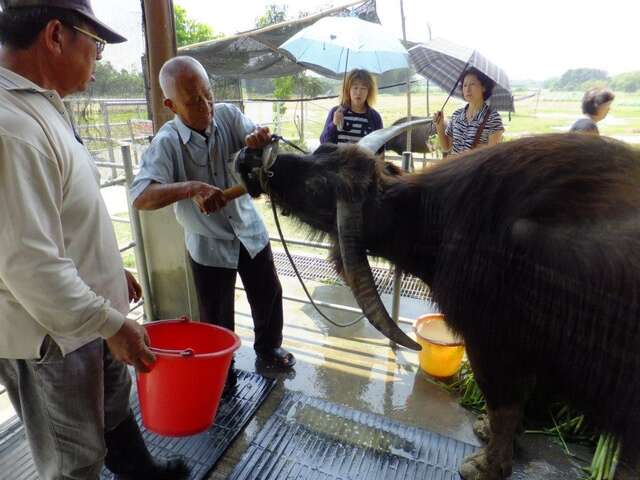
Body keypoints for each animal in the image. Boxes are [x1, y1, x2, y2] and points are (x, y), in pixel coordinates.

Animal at [234, 127, 640, 480]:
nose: (253, 156)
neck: (437, 222)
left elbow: (504, 404)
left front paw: (488, 466)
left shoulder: (491, 340)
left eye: (316, 187)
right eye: (322, 150)